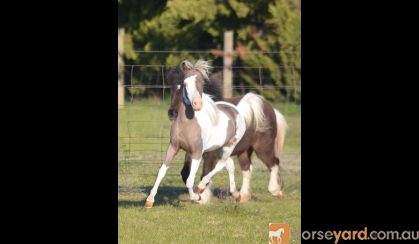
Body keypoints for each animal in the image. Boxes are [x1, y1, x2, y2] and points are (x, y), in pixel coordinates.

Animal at [144, 60, 266, 207]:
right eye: (185, 84)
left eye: (202, 83)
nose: (197, 104)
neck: (187, 124)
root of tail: (237, 110)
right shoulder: (174, 147)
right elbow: (162, 171)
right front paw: (149, 201)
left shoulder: (197, 152)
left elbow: (190, 180)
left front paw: (197, 197)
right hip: (218, 148)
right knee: (229, 165)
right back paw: (236, 195)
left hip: (229, 146)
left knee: (221, 164)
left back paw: (202, 188)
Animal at [168, 60, 288, 202]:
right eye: (172, 86)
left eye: (183, 87)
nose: (172, 113)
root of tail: (271, 109)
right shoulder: (192, 150)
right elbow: (185, 174)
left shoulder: (209, 154)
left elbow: (205, 172)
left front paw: (203, 197)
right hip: (244, 150)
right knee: (247, 168)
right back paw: (243, 196)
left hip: (263, 147)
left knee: (274, 163)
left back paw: (275, 190)